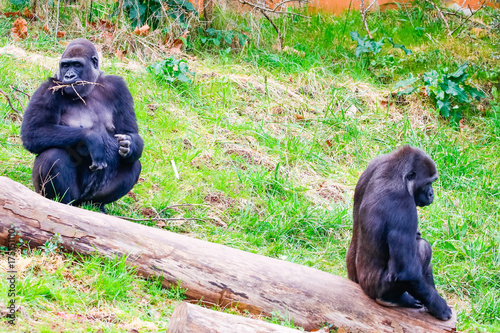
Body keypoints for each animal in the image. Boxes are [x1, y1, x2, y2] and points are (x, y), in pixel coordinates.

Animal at [21, 38, 143, 210]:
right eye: (65, 65)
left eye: (77, 65)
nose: (69, 76)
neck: (90, 87)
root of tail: (81, 203)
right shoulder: (49, 88)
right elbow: (33, 132)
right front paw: (93, 139)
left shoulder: (119, 87)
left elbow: (129, 131)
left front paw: (129, 144)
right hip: (65, 195)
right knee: (52, 155)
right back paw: (61, 203)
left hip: (89, 197)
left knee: (133, 164)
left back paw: (97, 206)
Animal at [346, 145, 452, 320]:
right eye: (428, 183)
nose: (431, 194)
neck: (394, 171)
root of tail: (361, 287)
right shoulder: (402, 204)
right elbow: (407, 271)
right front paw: (438, 305)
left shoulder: (374, 163)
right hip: (375, 290)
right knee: (423, 248)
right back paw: (392, 300)